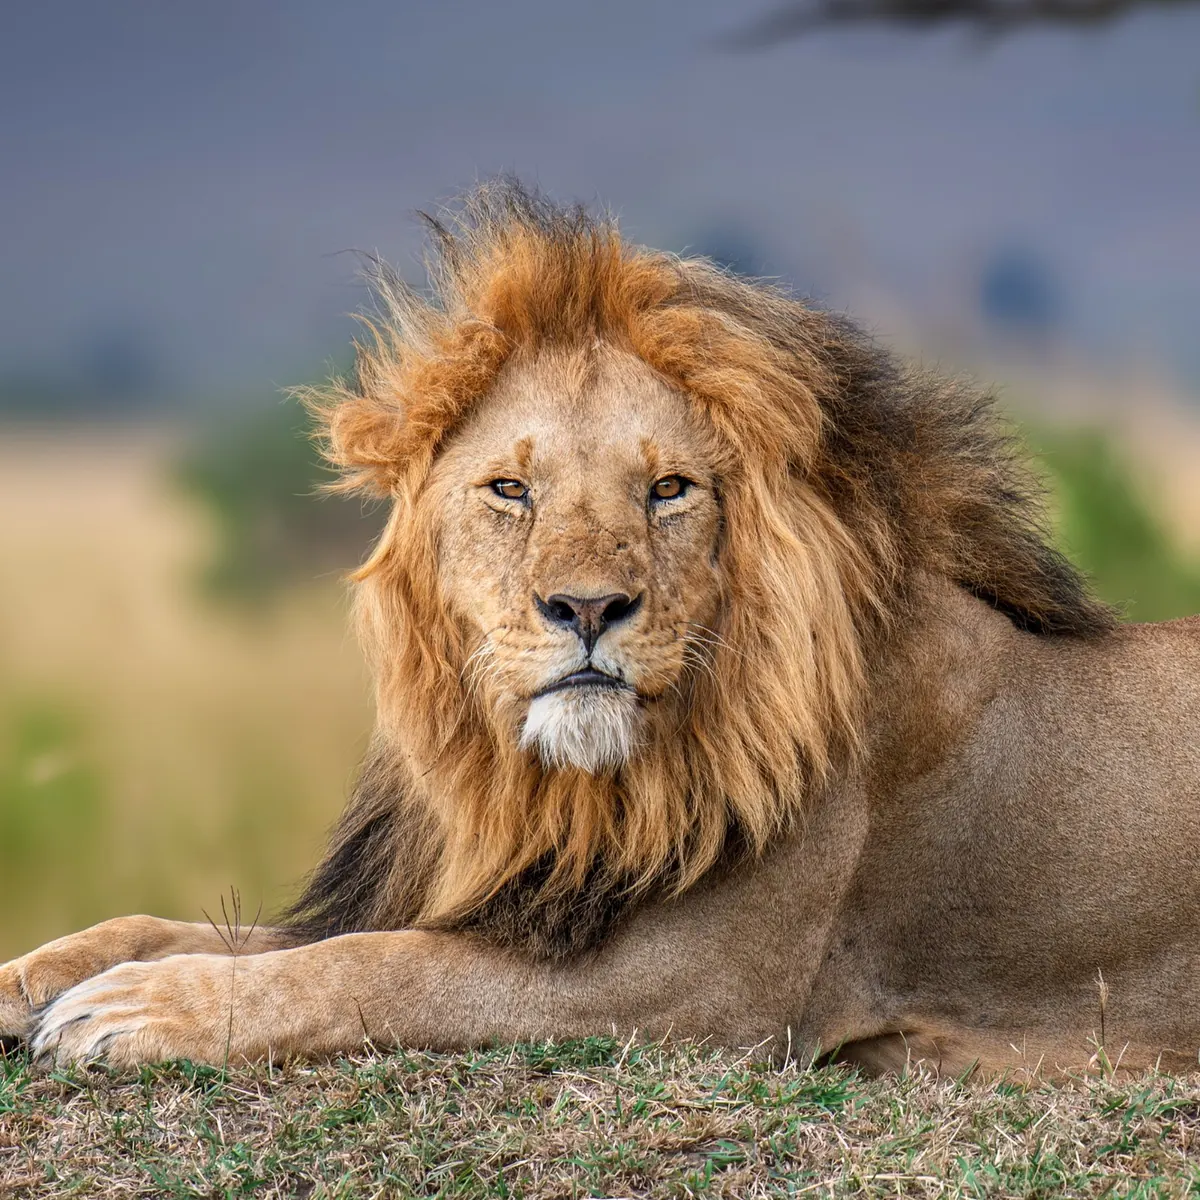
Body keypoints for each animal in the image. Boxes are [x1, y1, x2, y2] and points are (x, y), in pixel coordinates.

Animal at [4, 181, 1200, 1077]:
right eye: (510, 489)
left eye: (669, 490)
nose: (586, 608)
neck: (564, 789)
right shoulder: (511, 896)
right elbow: (197, 926)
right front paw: (41, 977)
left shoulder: (697, 992)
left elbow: (377, 966)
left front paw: (140, 1012)